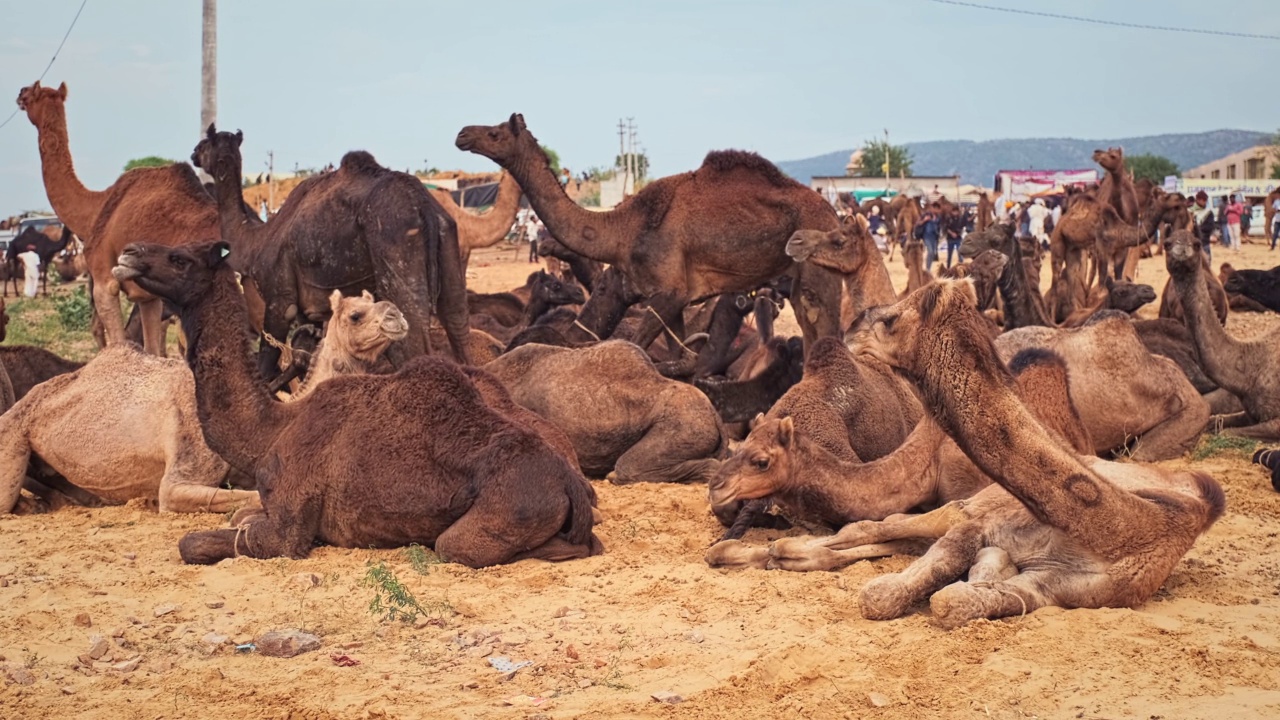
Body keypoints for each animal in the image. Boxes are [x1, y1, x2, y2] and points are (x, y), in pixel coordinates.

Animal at [112, 240, 596, 566]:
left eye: (180, 258)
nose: (128, 253)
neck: (273, 428)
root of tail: (569, 481)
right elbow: (237, 517)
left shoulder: (288, 529)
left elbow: (200, 541)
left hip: (505, 509)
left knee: (458, 545)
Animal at [186, 124, 473, 376]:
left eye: (205, 143)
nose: (193, 153)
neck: (256, 239)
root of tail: (424, 206)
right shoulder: (311, 316)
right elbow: (304, 358)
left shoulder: (280, 300)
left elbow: (267, 362)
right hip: (448, 241)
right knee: (458, 323)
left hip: (397, 248)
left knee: (415, 342)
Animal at [716, 281, 1223, 627]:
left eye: (891, 319)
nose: (851, 330)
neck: (1124, 529)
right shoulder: (974, 517)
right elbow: (899, 568)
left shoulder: (1052, 589)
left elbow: (943, 598)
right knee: (877, 528)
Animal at [1167, 229, 1280, 438]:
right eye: (1167, 243)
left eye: (1197, 244)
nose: (1182, 250)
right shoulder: (1250, 412)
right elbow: (1215, 422)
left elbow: (1226, 433)